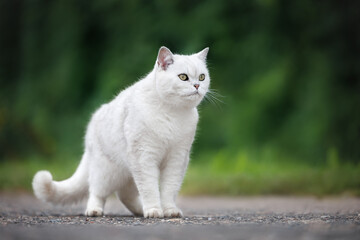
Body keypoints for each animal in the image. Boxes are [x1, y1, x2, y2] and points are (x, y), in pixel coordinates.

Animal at [33, 46, 211, 218]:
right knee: (96, 192)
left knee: (125, 195)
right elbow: (150, 189)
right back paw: (95, 211)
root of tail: (91, 126)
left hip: (128, 174)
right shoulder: (144, 158)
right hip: (106, 172)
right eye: (183, 77)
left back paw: (140, 210)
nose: (197, 86)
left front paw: (169, 210)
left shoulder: (177, 159)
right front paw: (154, 210)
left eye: (202, 77)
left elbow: (169, 189)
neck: (173, 114)